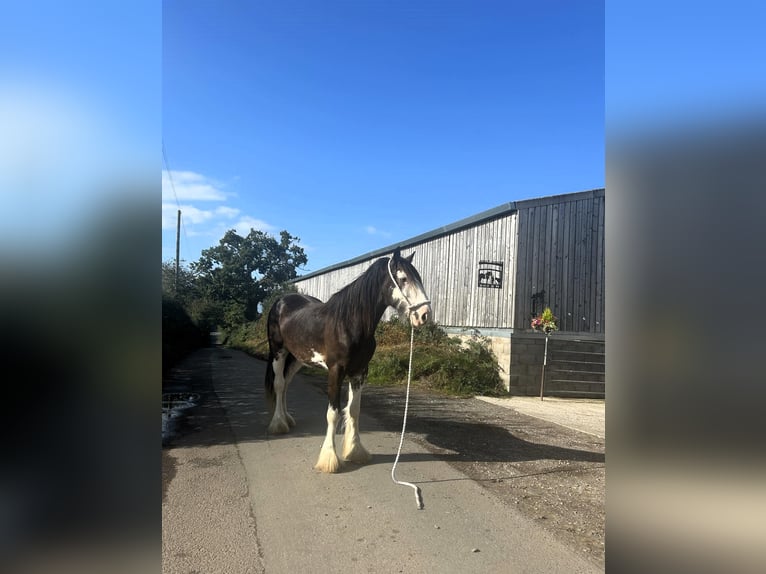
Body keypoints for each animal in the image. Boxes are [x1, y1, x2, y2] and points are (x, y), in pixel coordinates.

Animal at [264, 250, 432, 474]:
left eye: (419, 278)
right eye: (404, 279)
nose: (424, 315)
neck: (349, 323)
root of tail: (281, 301)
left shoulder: (360, 371)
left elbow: (353, 410)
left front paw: (355, 451)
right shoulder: (336, 371)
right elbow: (333, 413)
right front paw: (329, 459)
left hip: (298, 358)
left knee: (286, 384)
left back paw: (287, 419)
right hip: (278, 352)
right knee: (279, 384)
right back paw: (279, 424)